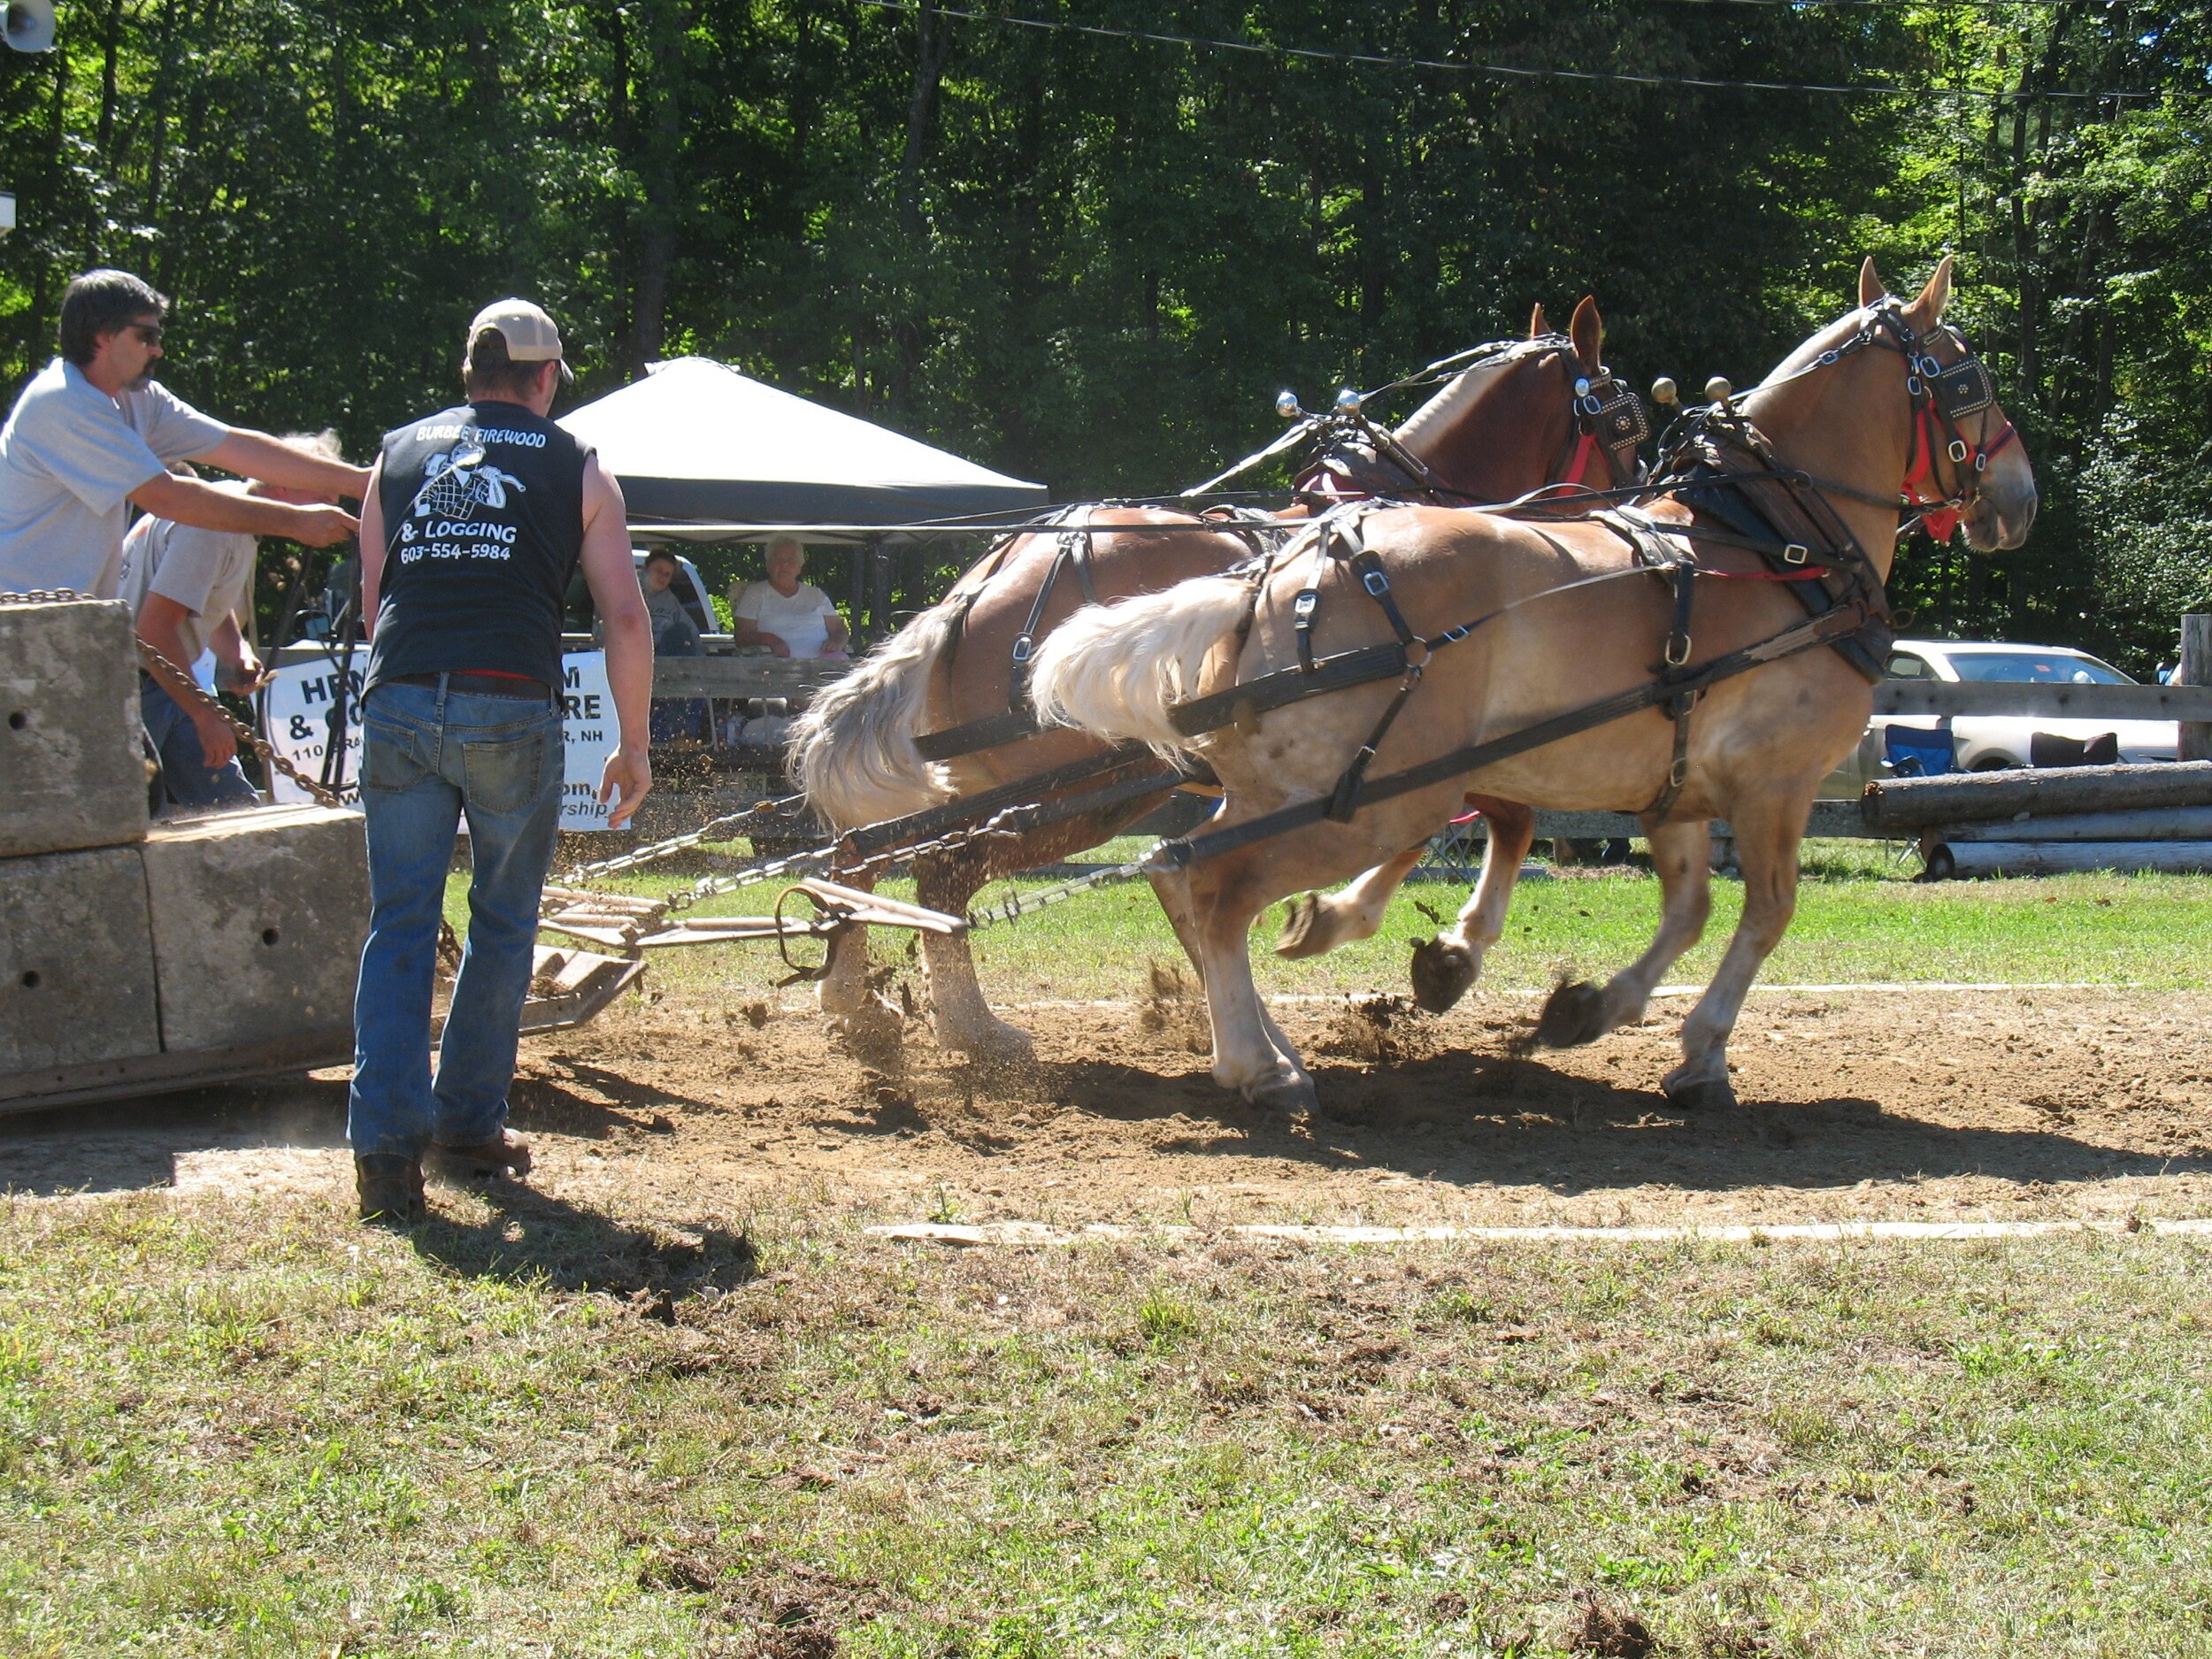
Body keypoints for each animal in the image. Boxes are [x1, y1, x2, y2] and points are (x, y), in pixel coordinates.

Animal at [792, 296, 1646, 1057]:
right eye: (1623, 420)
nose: (1642, 498)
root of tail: (979, 586)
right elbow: (1501, 819)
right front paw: (1416, 949)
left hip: (985, 779)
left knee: (863, 851)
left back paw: (855, 1001)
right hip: (1076, 792)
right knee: (939, 878)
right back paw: (972, 1029)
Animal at [1035, 259, 2035, 1119]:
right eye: (1969, 378)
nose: (2020, 498)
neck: (1770, 543)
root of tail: (1273, 576)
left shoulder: (1673, 787)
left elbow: (1687, 908)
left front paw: (1586, 1006)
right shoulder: (1776, 784)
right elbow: (1767, 912)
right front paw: (1701, 1052)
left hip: (1289, 787)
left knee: (1180, 872)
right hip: (1368, 800)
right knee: (1217, 887)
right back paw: (1260, 1066)